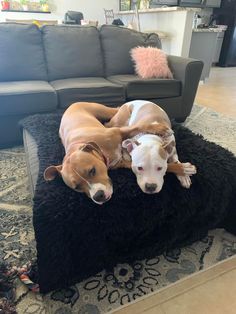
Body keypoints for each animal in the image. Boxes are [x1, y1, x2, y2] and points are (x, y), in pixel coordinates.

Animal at [43, 100, 171, 204]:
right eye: (77, 187)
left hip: (104, 111)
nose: (98, 196)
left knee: (116, 111)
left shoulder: (119, 131)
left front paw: (160, 129)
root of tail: (70, 106)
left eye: (92, 170)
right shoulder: (119, 163)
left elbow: (138, 127)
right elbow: (132, 164)